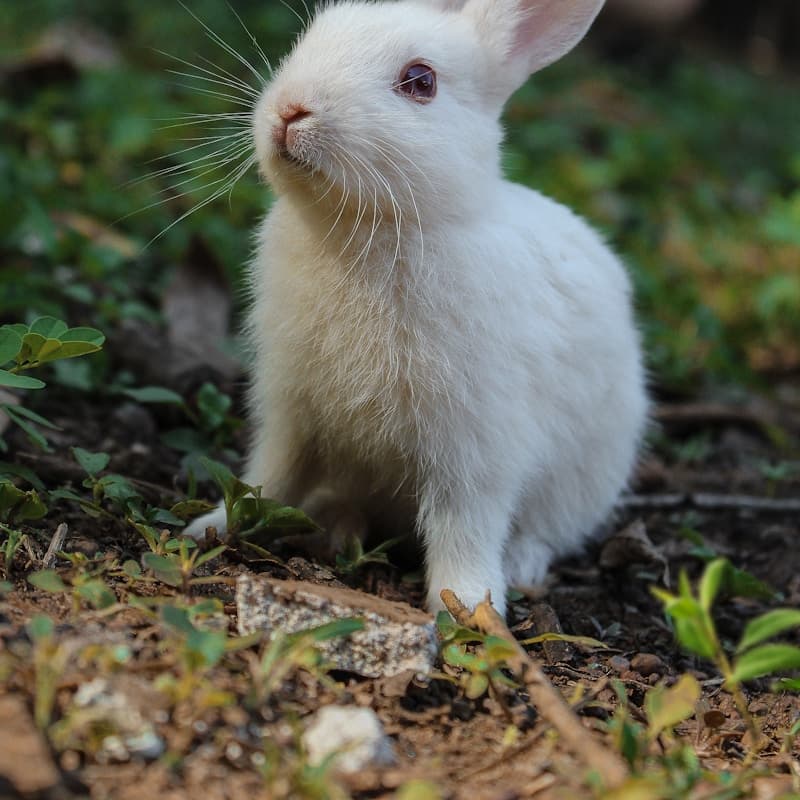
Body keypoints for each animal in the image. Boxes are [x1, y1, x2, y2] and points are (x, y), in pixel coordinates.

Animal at [186, 0, 649, 618]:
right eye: (311, 37)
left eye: (420, 82)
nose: (290, 109)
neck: (369, 227)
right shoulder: (291, 412)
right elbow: (270, 477)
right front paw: (212, 526)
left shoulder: (475, 445)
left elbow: (464, 526)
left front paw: (467, 608)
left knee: (545, 531)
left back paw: (520, 567)